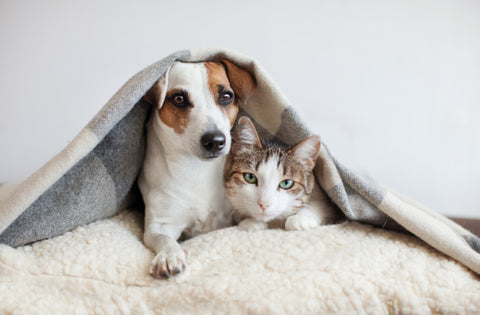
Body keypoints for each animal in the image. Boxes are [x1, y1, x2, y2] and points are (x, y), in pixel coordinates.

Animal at [139, 59, 256, 278]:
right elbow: (164, 239)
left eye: (226, 96)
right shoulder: (159, 225)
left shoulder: (237, 211)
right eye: (179, 99)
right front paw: (169, 256)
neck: (198, 170)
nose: (215, 141)